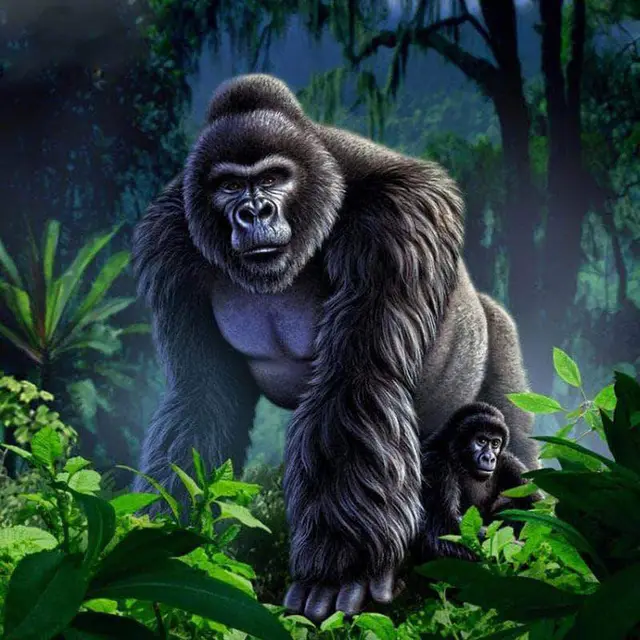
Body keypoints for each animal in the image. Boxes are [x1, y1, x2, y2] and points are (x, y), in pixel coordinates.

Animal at [417, 402, 542, 562]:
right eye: (481, 441)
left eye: (495, 443)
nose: (489, 458)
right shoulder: (435, 463)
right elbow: (443, 529)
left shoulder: (508, 461)